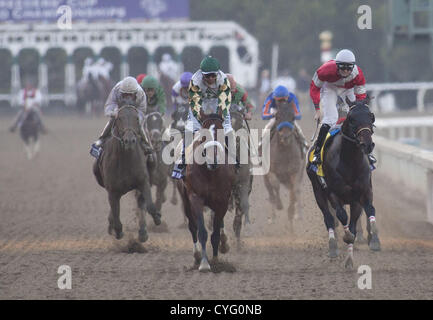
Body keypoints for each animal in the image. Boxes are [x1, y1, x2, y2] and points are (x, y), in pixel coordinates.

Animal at [93, 105, 161, 242]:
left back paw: (143, 232)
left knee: (141, 202)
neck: (126, 161)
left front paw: (157, 218)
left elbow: (150, 205)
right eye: (119, 118)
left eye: (137, 118)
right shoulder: (112, 190)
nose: (129, 140)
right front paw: (118, 231)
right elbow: (116, 214)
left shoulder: (143, 182)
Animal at [176, 114, 236, 272]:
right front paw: (204, 263)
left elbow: (215, 234)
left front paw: (216, 261)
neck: (210, 173)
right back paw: (197, 256)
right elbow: (202, 232)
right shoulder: (195, 197)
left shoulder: (223, 200)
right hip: (185, 199)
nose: (212, 160)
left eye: (221, 133)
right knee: (192, 226)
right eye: (203, 136)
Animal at [264, 100, 304, 230]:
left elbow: (294, 190)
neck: (284, 154)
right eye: (277, 116)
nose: (285, 137)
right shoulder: (271, 171)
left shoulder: (295, 172)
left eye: (293, 117)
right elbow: (275, 185)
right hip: (265, 178)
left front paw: (291, 213)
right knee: (270, 193)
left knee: (296, 191)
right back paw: (272, 217)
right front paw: (279, 205)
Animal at [306, 97, 380, 268]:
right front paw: (347, 237)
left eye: (371, 116)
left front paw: (370, 241)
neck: (350, 161)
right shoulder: (333, 193)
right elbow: (342, 216)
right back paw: (333, 246)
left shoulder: (360, 193)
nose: (367, 144)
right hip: (318, 192)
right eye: (352, 119)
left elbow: (365, 213)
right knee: (329, 218)